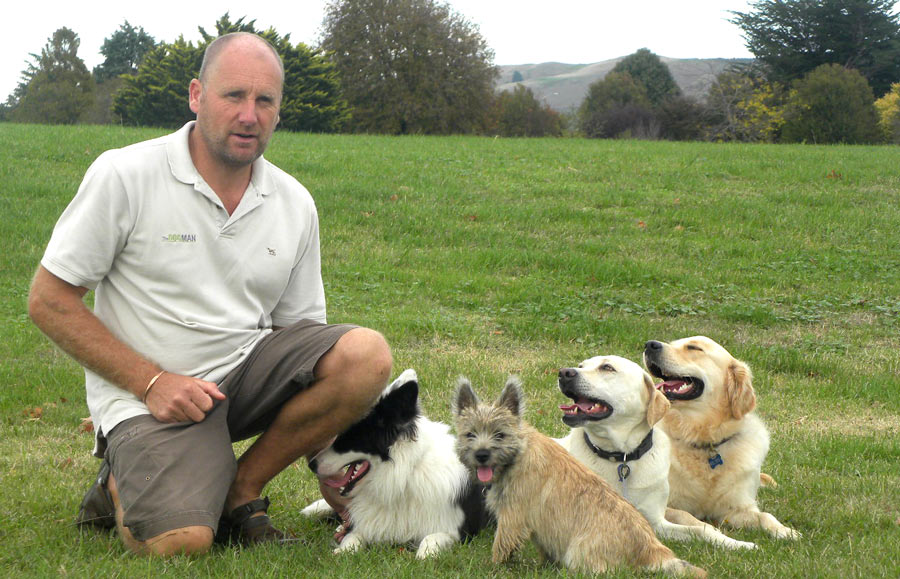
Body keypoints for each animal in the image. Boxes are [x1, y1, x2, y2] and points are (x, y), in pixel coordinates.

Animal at [302, 372, 488, 556]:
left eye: (347, 437)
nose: (312, 465)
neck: (403, 478)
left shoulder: (458, 531)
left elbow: (430, 540)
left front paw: (424, 555)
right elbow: (353, 538)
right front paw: (343, 550)